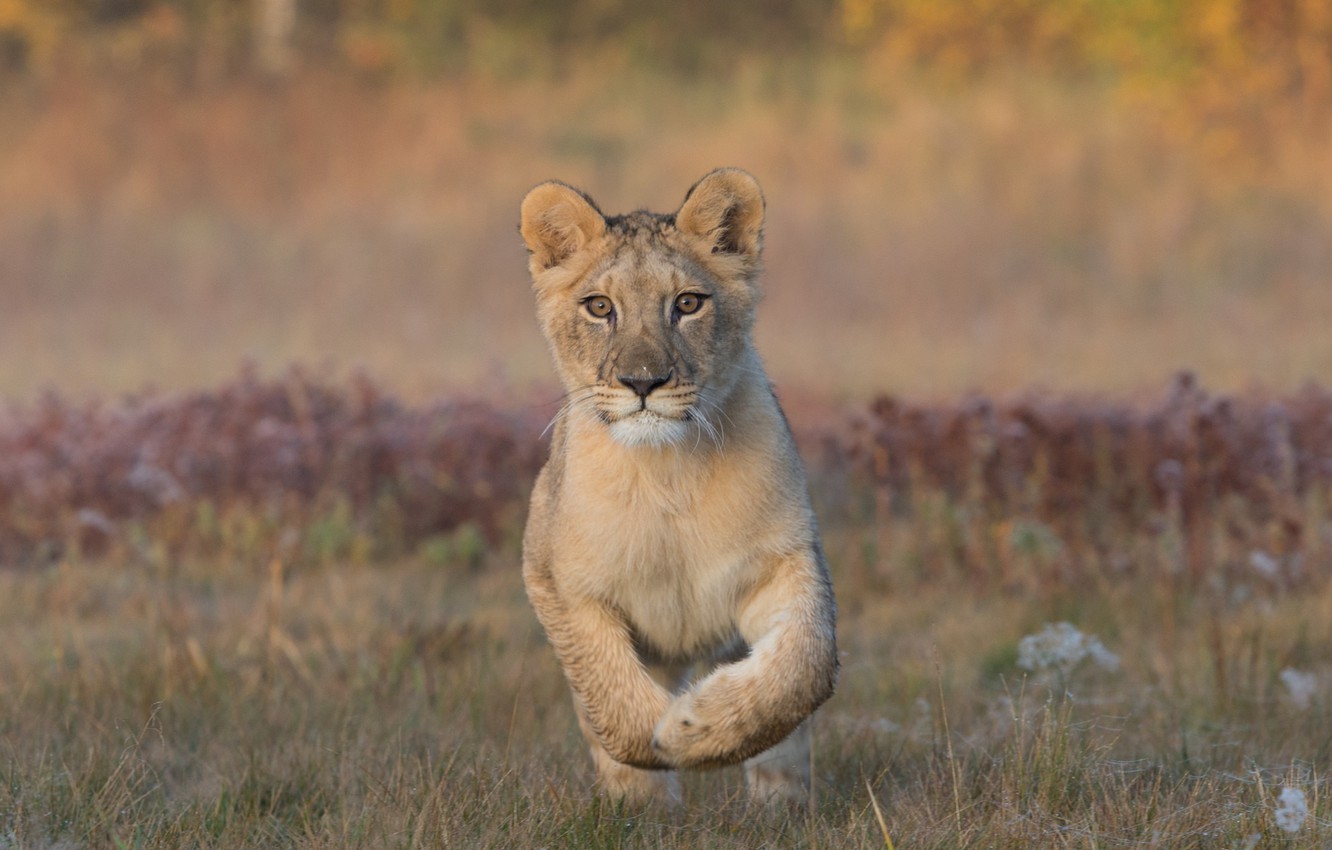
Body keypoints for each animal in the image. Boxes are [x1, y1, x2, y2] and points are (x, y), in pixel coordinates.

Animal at [518, 168, 838, 805]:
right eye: (600, 307)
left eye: (687, 303)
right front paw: (655, 738)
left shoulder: (783, 559)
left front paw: (698, 729)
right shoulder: (554, 577)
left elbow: (804, 667)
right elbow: (607, 689)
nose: (642, 382)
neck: (667, 474)